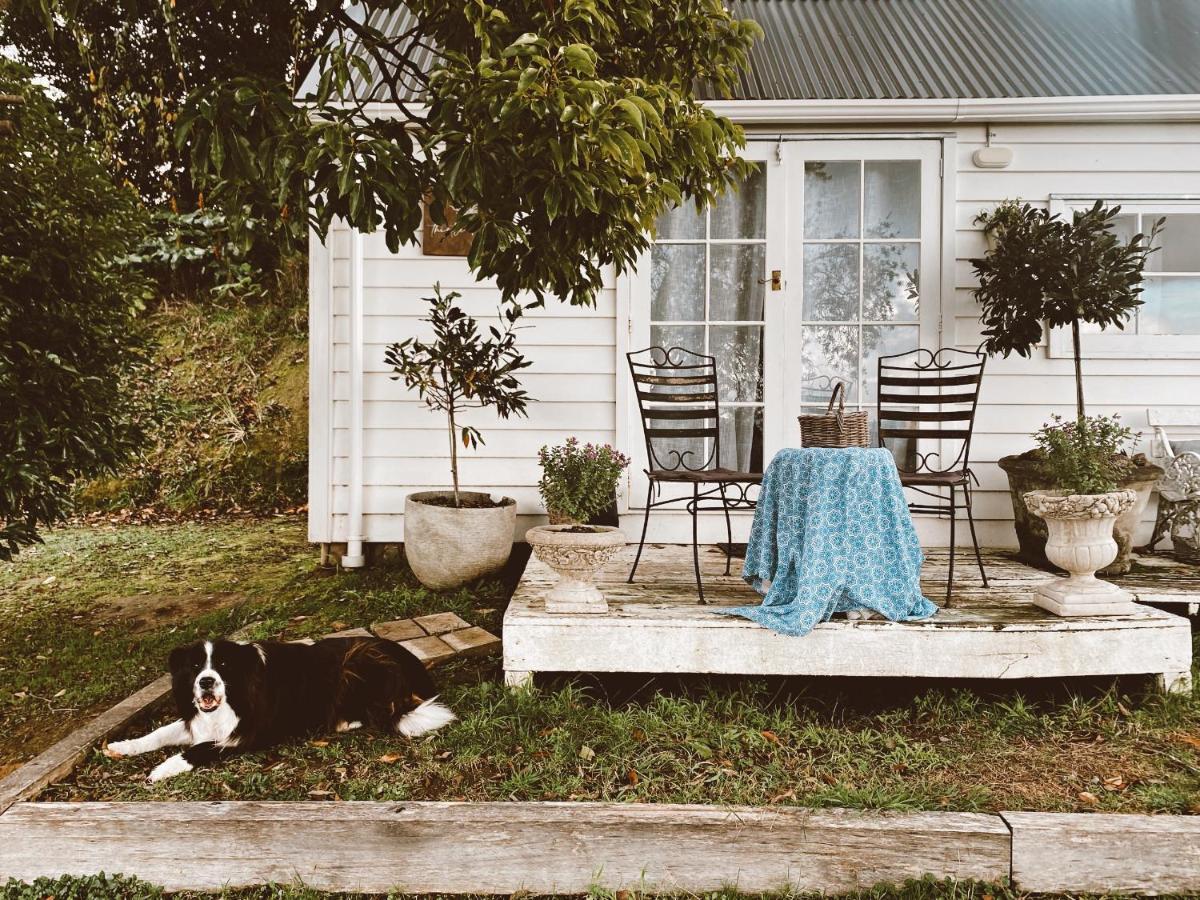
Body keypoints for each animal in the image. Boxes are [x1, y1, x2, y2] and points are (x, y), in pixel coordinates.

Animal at [104, 633, 453, 782]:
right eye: (194, 666)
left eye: (223, 665)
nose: (206, 682)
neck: (235, 696)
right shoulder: (200, 722)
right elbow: (160, 733)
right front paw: (124, 746)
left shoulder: (249, 734)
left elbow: (199, 749)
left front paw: (161, 769)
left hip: (356, 658)